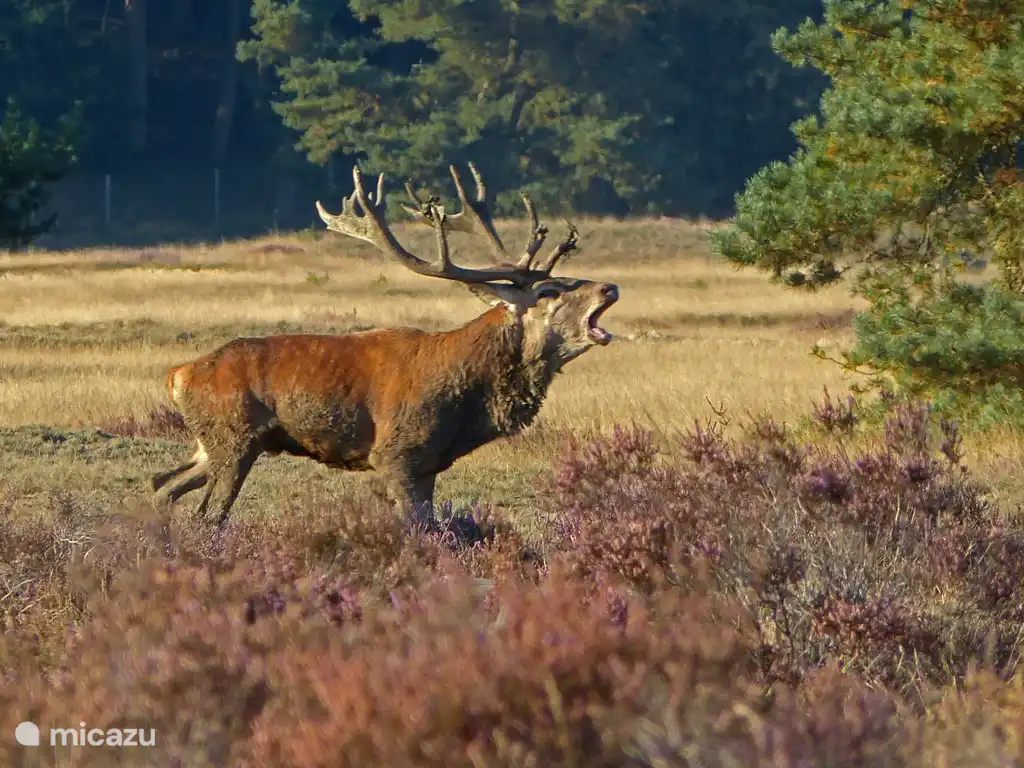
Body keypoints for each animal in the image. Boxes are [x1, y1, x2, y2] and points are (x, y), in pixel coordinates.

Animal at [150, 161, 620, 528]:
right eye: (550, 291)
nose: (609, 287)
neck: (467, 399)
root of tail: (176, 375)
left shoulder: (429, 465)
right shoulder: (397, 452)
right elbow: (419, 530)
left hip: (211, 443)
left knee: (161, 486)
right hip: (234, 437)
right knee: (208, 514)